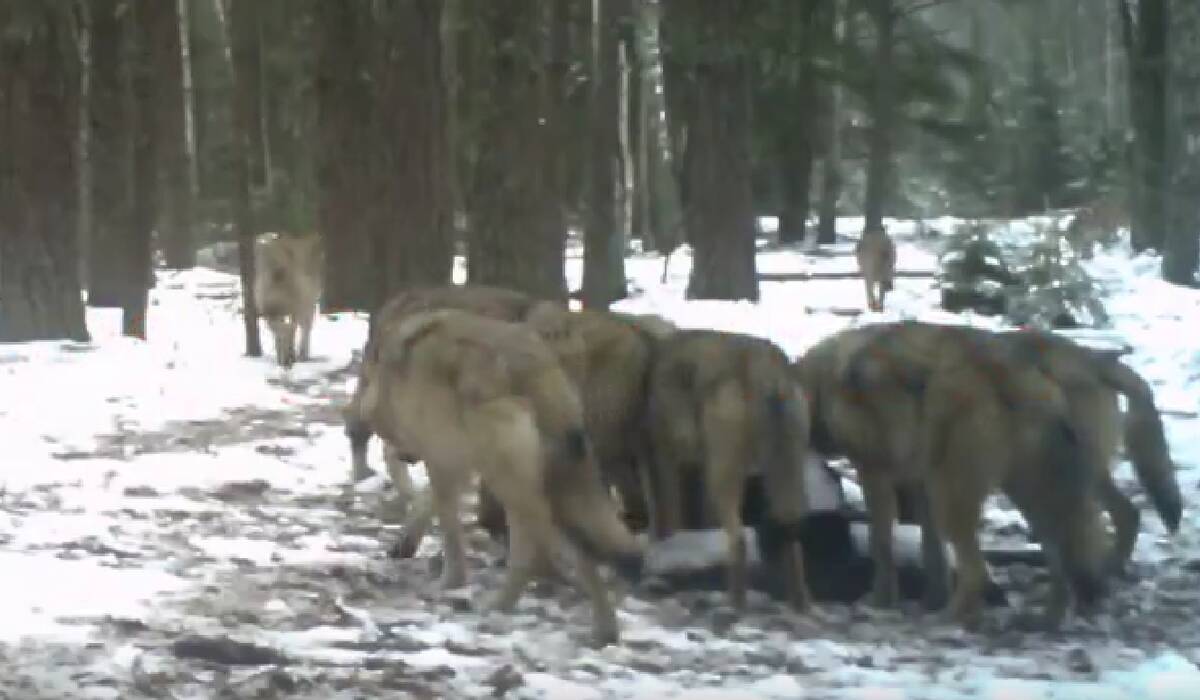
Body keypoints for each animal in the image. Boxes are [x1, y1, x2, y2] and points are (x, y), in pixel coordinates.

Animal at [254, 232, 324, 369]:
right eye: (261, 252)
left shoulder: (296, 307)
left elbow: (291, 329)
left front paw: (290, 356)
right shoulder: (269, 311)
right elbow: (279, 332)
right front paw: (282, 358)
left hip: (309, 302)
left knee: (306, 326)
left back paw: (303, 355)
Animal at [357, 309, 648, 648]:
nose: (405, 455)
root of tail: (535, 370)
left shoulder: (442, 459)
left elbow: (449, 531)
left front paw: (449, 583)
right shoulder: (457, 462)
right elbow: (429, 504)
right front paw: (406, 543)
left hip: (516, 485)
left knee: (531, 550)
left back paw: (498, 606)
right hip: (560, 483)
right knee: (587, 548)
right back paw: (604, 632)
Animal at [648, 328, 816, 614]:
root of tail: (767, 365)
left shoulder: (667, 450)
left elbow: (670, 508)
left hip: (725, 460)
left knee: (737, 536)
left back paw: (734, 603)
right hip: (788, 460)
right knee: (792, 532)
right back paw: (800, 604)